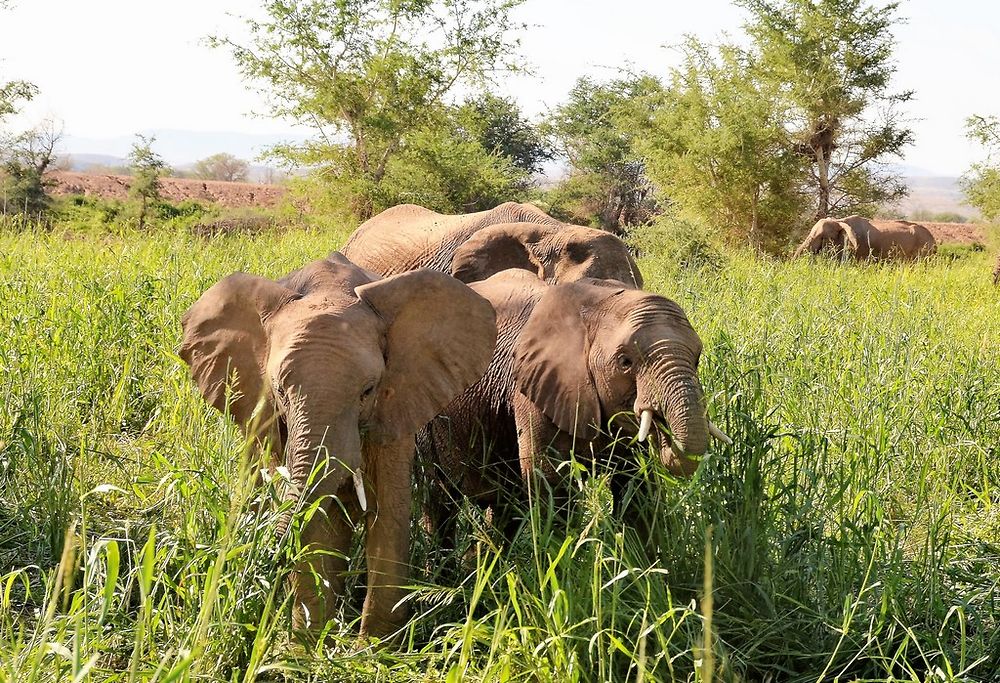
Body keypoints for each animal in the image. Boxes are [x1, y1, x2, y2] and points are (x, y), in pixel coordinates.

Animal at [179, 254, 496, 640]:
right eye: (280, 391)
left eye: (368, 390)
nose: (262, 560)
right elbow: (314, 520)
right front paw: (305, 646)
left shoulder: (397, 403)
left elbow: (387, 510)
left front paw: (374, 647)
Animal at [418, 270, 732, 548]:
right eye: (625, 362)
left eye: (697, 359)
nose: (662, 428)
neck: (597, 304)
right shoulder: (535, 388)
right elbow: (553, 487)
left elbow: (638, 489)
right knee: (439, 505)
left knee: (503, 510)